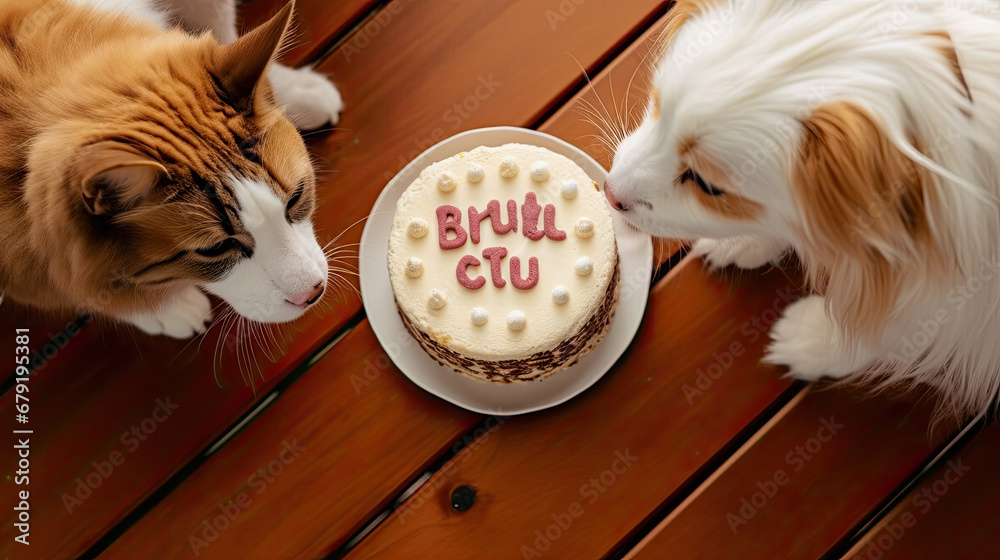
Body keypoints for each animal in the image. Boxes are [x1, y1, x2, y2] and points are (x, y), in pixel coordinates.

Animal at [0, 1, 342, 336]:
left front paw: (293, 89)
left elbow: (220, 26)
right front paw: (165, 309)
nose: (312, 293)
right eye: (216, 248)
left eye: (297, 197)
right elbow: (60, 279)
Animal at [600, 0, 1000, 416]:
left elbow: (900, 323)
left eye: (708, 185)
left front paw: (816, 342)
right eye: (658, 105)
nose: (610, 193)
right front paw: (746, 240)